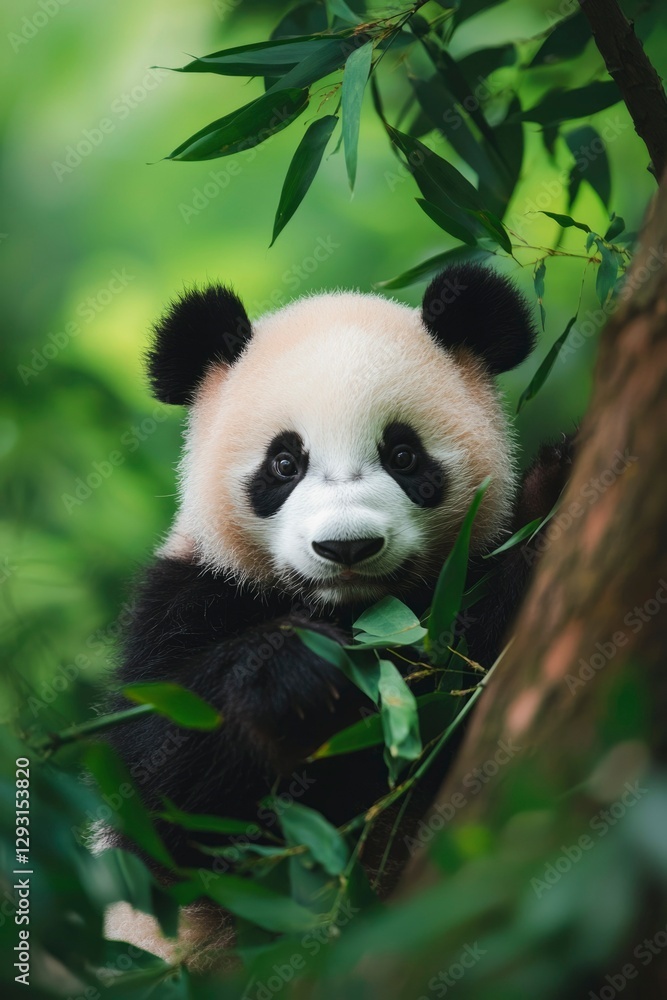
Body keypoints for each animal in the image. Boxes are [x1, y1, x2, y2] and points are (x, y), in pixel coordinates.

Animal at [104, 264, 572, 961]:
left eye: (403, 455)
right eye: (284, 463)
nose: (347, 547)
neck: (360, 614)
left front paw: (557, 486)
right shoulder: (186, 595)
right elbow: (162, 793)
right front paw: (294, 673)